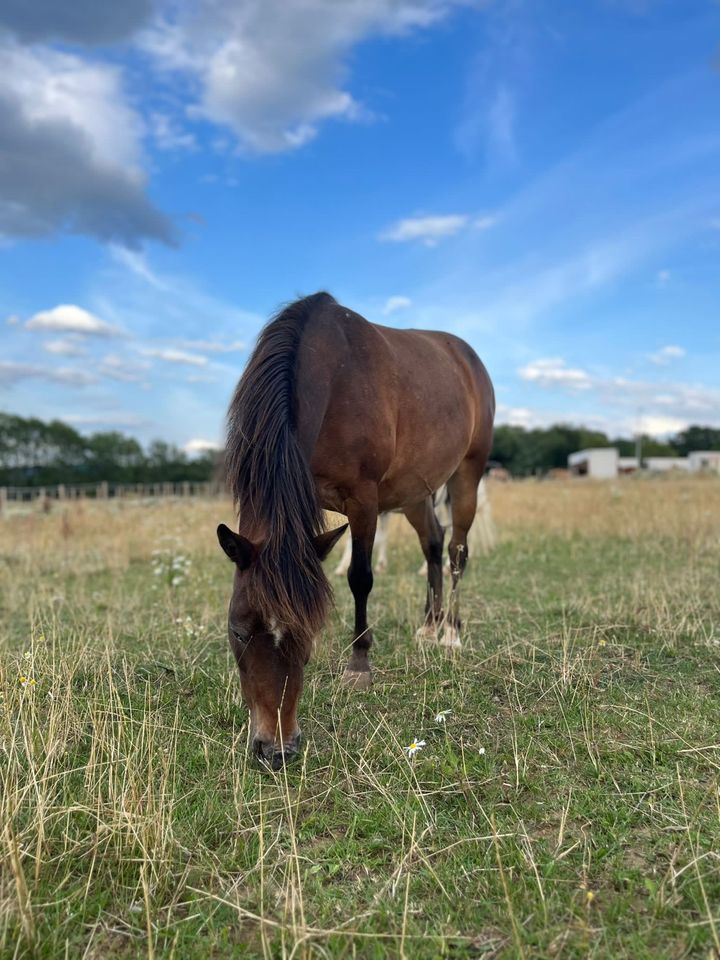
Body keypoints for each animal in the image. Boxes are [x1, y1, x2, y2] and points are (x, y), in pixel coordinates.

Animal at [217, 288, 492, 768]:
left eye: (309, 630)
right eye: (237, 631)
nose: (276, 748)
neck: (332, 374)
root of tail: (466, 355)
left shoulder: (363, 500)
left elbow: (360, 578)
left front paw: (359, 666)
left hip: (467, 475)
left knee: (456, 551)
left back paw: (451, 633)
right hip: (413, 492)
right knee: (432, 544)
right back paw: (428, 625)